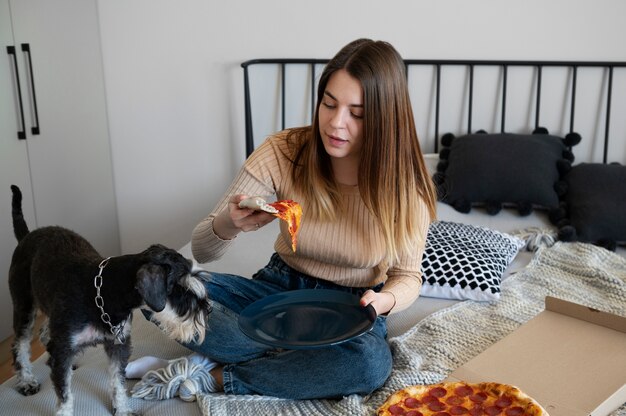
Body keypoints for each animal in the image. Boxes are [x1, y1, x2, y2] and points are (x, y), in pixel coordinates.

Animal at [8, 186, 211, 416]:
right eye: (182, 293)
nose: (208, 311)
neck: (104, 293)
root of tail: (27, 236)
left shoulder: (118, 346)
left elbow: (117, 382)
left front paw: (122, 409)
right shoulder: (63, 349)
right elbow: (65, 394)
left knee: (44, 332)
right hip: (24, 305)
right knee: (20, 343)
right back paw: (26, 380)